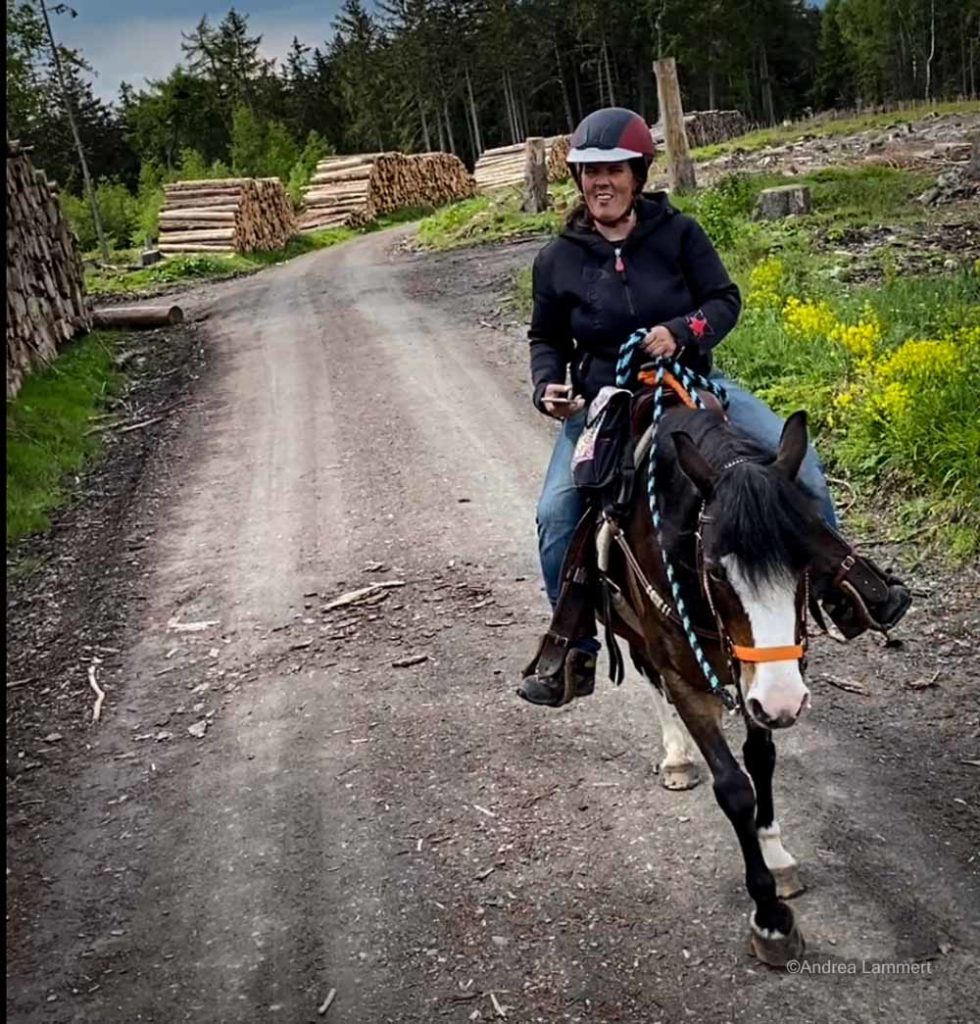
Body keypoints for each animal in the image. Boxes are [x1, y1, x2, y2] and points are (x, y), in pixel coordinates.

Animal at [602, 399, 823, 966]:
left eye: (807, 559)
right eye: (716, 571)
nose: (787, 700)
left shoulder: (751, 681)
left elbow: (761, 760)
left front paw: (775, 853)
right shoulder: (688, 676)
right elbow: (734, 787)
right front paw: (770, 918)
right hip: (635, 629)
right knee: (649, 675)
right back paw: (677, 758)